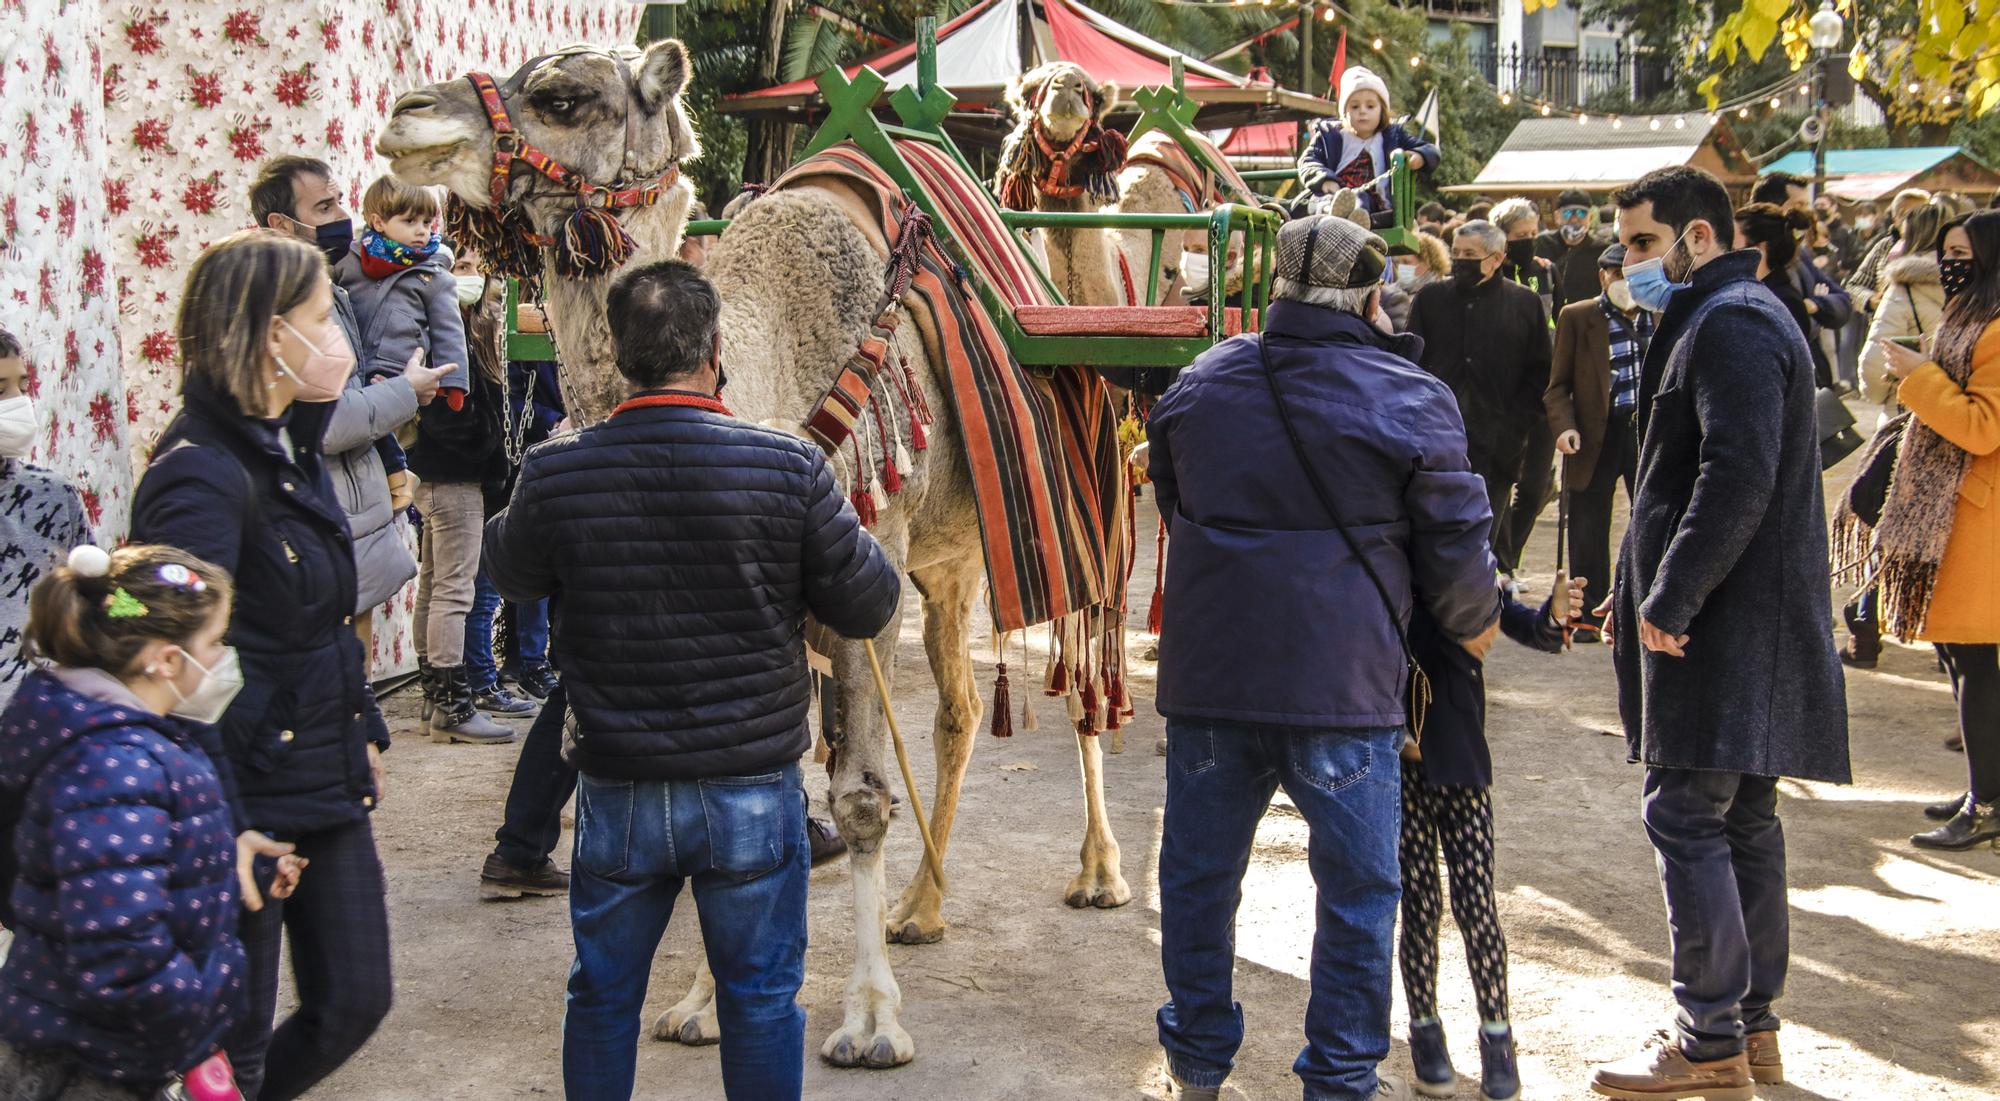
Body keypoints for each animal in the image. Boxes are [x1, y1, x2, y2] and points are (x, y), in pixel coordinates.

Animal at [376, 41, 1128, 1072]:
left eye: (563, 97)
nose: (404, 115)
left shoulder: (865, 567)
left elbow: (857, 798)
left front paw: (870, 1020)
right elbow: (737, 800)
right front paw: (698, 1001)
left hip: (1081, 509)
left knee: (1087, 687)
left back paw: (1097, 874)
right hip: (949, 560)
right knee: (962, 710)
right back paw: (922, 907)